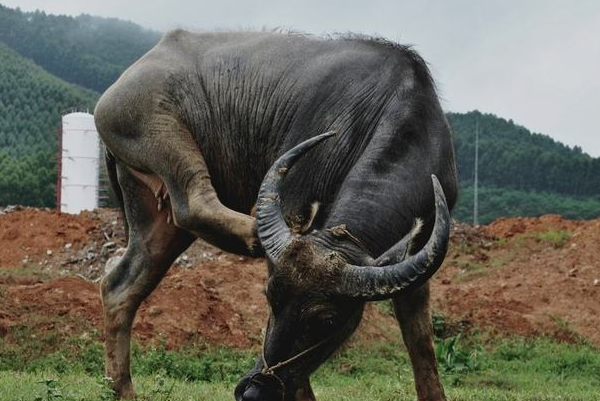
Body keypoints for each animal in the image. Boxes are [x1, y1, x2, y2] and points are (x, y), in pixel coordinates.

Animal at [96, 29, 458, 398]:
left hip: (151, 211)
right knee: (193, 201)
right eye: (270, 297)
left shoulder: (418, 258)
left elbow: (421, 342)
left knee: (122, 285)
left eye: (326, 320)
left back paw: (122, 388)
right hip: (159, 130)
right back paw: (254, 233)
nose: (253, 391)